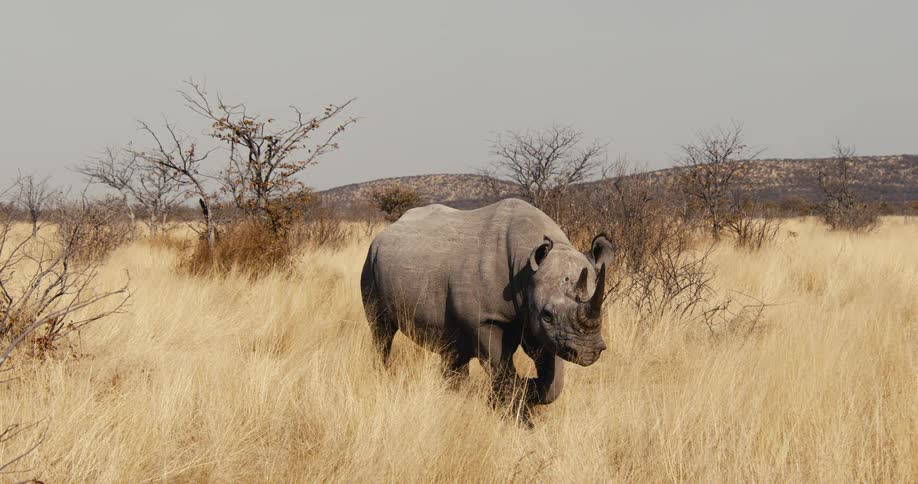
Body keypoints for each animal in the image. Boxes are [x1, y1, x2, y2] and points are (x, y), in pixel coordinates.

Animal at [360, 198, 613, 418]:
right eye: (548, 316)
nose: (587, 352)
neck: (526, 265)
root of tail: (385, 231)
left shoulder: (539, 325)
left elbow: (553, 380)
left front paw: (527, 388)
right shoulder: (487, 319)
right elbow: (500, 367)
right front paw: (516, 408)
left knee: (452, 347)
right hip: (370, 260)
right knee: (381, 331)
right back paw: (382, 376)